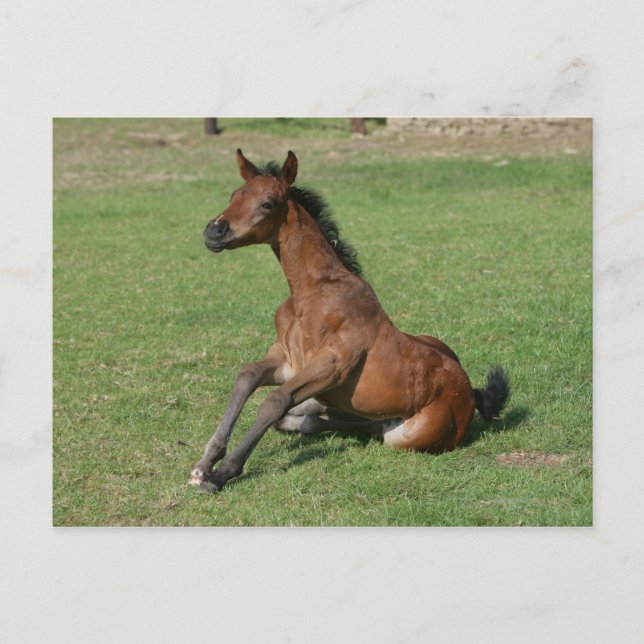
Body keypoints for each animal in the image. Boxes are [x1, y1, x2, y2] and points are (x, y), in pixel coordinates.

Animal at [189, 150, 509, 493]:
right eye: (234, 195)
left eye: (267, 204)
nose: (214, 231)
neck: (310, 293)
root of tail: (468, 390)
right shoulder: (286, 361)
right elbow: (246, 377)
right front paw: (204, 464)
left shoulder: (332, 365)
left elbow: (275, 400)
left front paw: (221, 474)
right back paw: (304, 414)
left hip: (404, 436)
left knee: (369, 427)